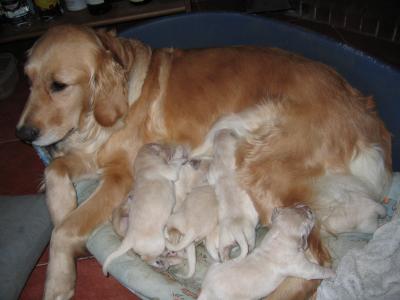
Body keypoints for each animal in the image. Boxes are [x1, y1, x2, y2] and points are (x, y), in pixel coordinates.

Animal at [101, 144, 186, 274]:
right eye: (165, 147)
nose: (173, 146)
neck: (143, 164)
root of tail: (129, 238)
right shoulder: (168, 170)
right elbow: (174, 163)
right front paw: (180, 154)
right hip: (159, 243)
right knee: (145, 258)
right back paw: (160, 262)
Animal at [199, 204, 334, 300]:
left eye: (295, 207)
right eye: (309, 216)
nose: (308, 207)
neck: (279, 237)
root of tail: (206, 289)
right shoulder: (301, 266)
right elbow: (317, 270)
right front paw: (331, 272)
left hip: (215, 265)